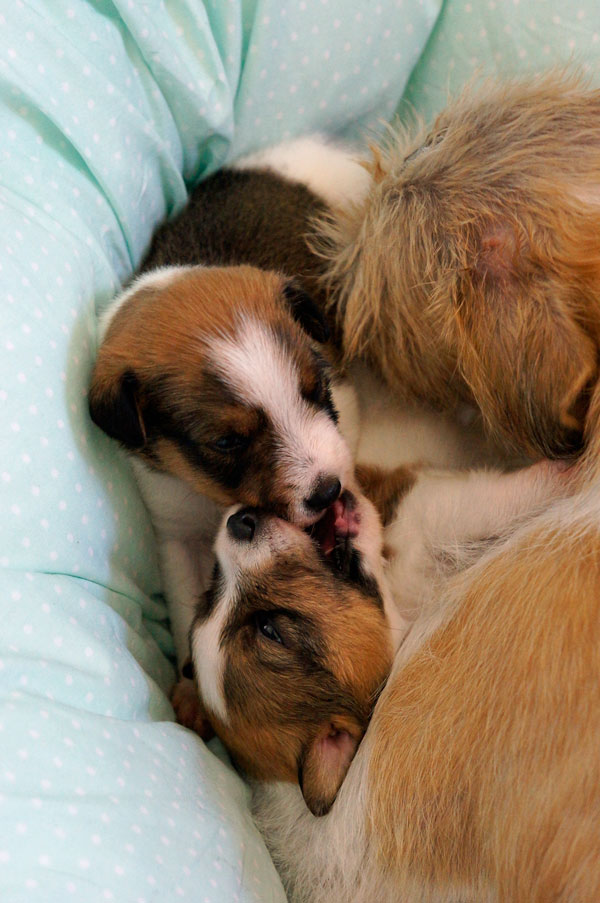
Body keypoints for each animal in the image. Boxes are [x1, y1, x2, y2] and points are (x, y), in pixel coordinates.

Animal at [181, 456, 592, 901]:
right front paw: (558, 476)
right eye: (270, 631)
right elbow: (472, 502)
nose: (238, 522)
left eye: (212, 589)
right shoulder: (432, 513)